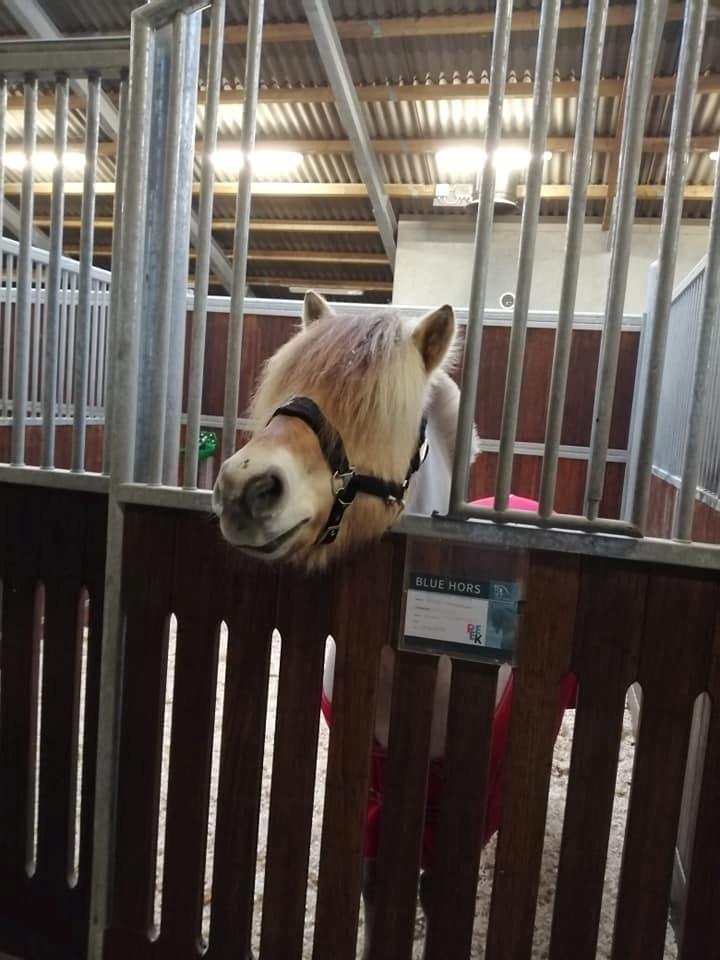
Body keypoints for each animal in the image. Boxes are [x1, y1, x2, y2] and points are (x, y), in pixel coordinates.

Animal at [212, 291, 572, 958]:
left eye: (378, 412)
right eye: (285, 388)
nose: (246, 488)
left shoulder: (464, 797)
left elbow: (436, 888)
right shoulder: (375, 786)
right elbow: (376, 880)